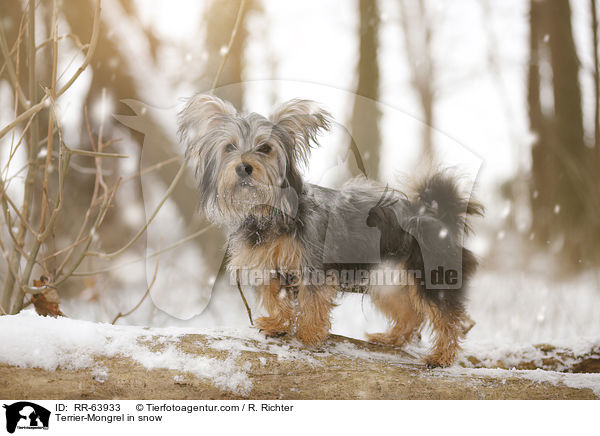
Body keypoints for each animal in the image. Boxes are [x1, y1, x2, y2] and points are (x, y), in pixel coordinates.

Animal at [178, 93, 482, 366]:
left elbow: (312, 301)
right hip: (389, 279)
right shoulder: (268, 266)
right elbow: (275, 297)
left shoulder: (313, 265)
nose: (244, 167)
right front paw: (278, 324)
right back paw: (390, 339)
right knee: (411, 315)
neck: (268, 213)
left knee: (449, 318)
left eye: (265, 148)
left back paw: (442, 356)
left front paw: (309, 335)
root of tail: (438, 215)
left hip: (432, 273)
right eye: (229, 147)